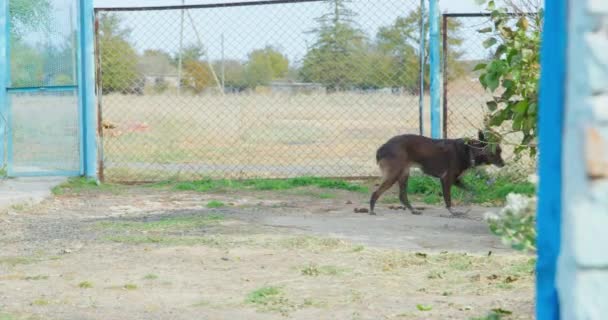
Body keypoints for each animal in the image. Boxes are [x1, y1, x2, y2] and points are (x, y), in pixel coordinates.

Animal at [370, 130, 504, 215]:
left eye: (500, 151)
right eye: (495, 152)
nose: (504, 164)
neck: (469, 150)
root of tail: (382, 147)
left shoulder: (456, 180)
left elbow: (472, 190)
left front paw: (467, 203)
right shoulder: (446, 179)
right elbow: (448, 200)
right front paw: (454, 212)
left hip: (404, 174)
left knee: (402, 196)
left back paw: (413, 210)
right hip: (394, 175)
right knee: (375, 193)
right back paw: (371, 210)